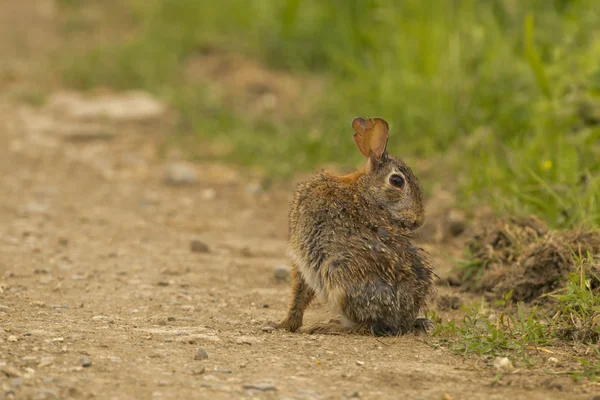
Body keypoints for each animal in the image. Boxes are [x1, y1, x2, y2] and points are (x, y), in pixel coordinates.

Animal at [268, 117, 436, 336]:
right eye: (397, 180)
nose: (418, 220)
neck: (362, 190)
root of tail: (403, 321)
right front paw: (282, 325)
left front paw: (283, 325)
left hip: (339, 277)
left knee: (364, 326)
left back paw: (328, 326)